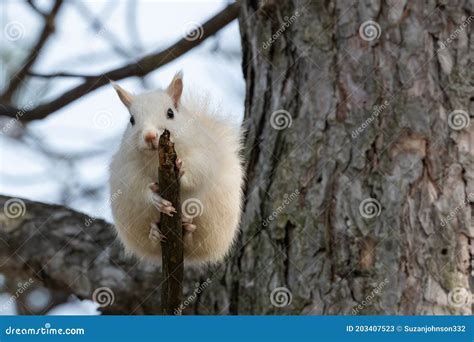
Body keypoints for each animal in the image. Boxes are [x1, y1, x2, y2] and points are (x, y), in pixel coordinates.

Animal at [109, 72, 244, 264]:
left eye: (170, 113)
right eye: (132, 120)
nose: (150, 136)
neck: (154, 160)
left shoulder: (204, 155)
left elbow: (198, 174)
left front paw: (180, 171)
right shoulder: (127, 170)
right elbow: (137, 190)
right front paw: (156, 200)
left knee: (195, 242)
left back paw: (188, 229)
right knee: (151, 243)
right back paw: (154, 232)